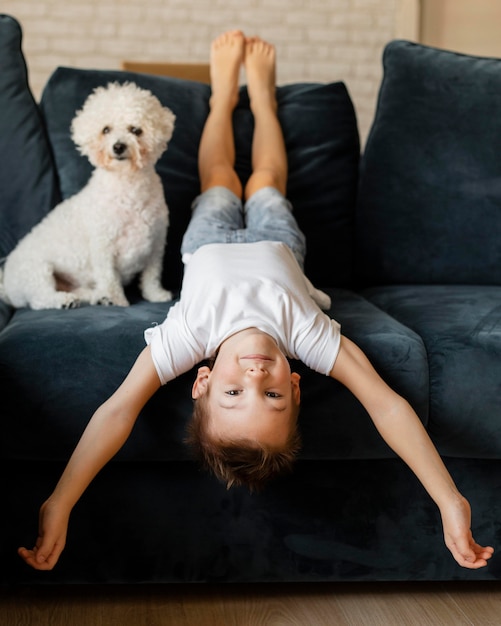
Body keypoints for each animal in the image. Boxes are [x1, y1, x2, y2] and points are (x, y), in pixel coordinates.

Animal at [0, 81, 176, 308]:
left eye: (135, 130)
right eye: (106, 130)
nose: (118, 146)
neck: (127, 185)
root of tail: (6, 285)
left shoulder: (156, 244)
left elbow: (151, 276)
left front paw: (155, 295)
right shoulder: (103, 248)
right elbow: (110, 279)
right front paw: (119, 302)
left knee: (80, 291)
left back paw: (97, 297)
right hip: (36, 271)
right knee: (40, 299)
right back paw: (65, 300)